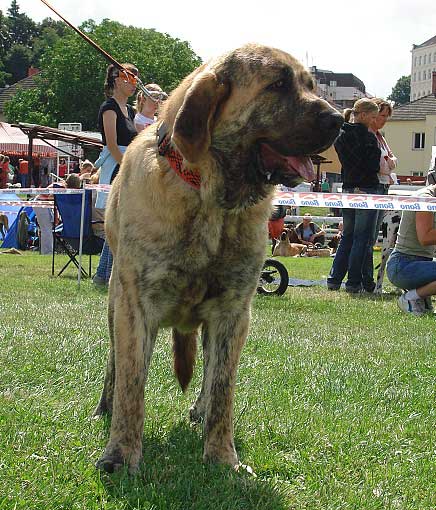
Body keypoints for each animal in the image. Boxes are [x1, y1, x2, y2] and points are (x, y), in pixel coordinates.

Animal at [95, 43, 344, 474]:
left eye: (312, 86)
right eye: (278, 85)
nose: (340, 120)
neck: (210, 198)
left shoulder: (232, 311)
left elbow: (222, 388)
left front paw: (222, 457)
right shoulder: (135, 305)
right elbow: (132, 384)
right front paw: (122, 454)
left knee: (210, 376)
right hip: (115, 304)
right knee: (115, 365)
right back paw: (106, 406)